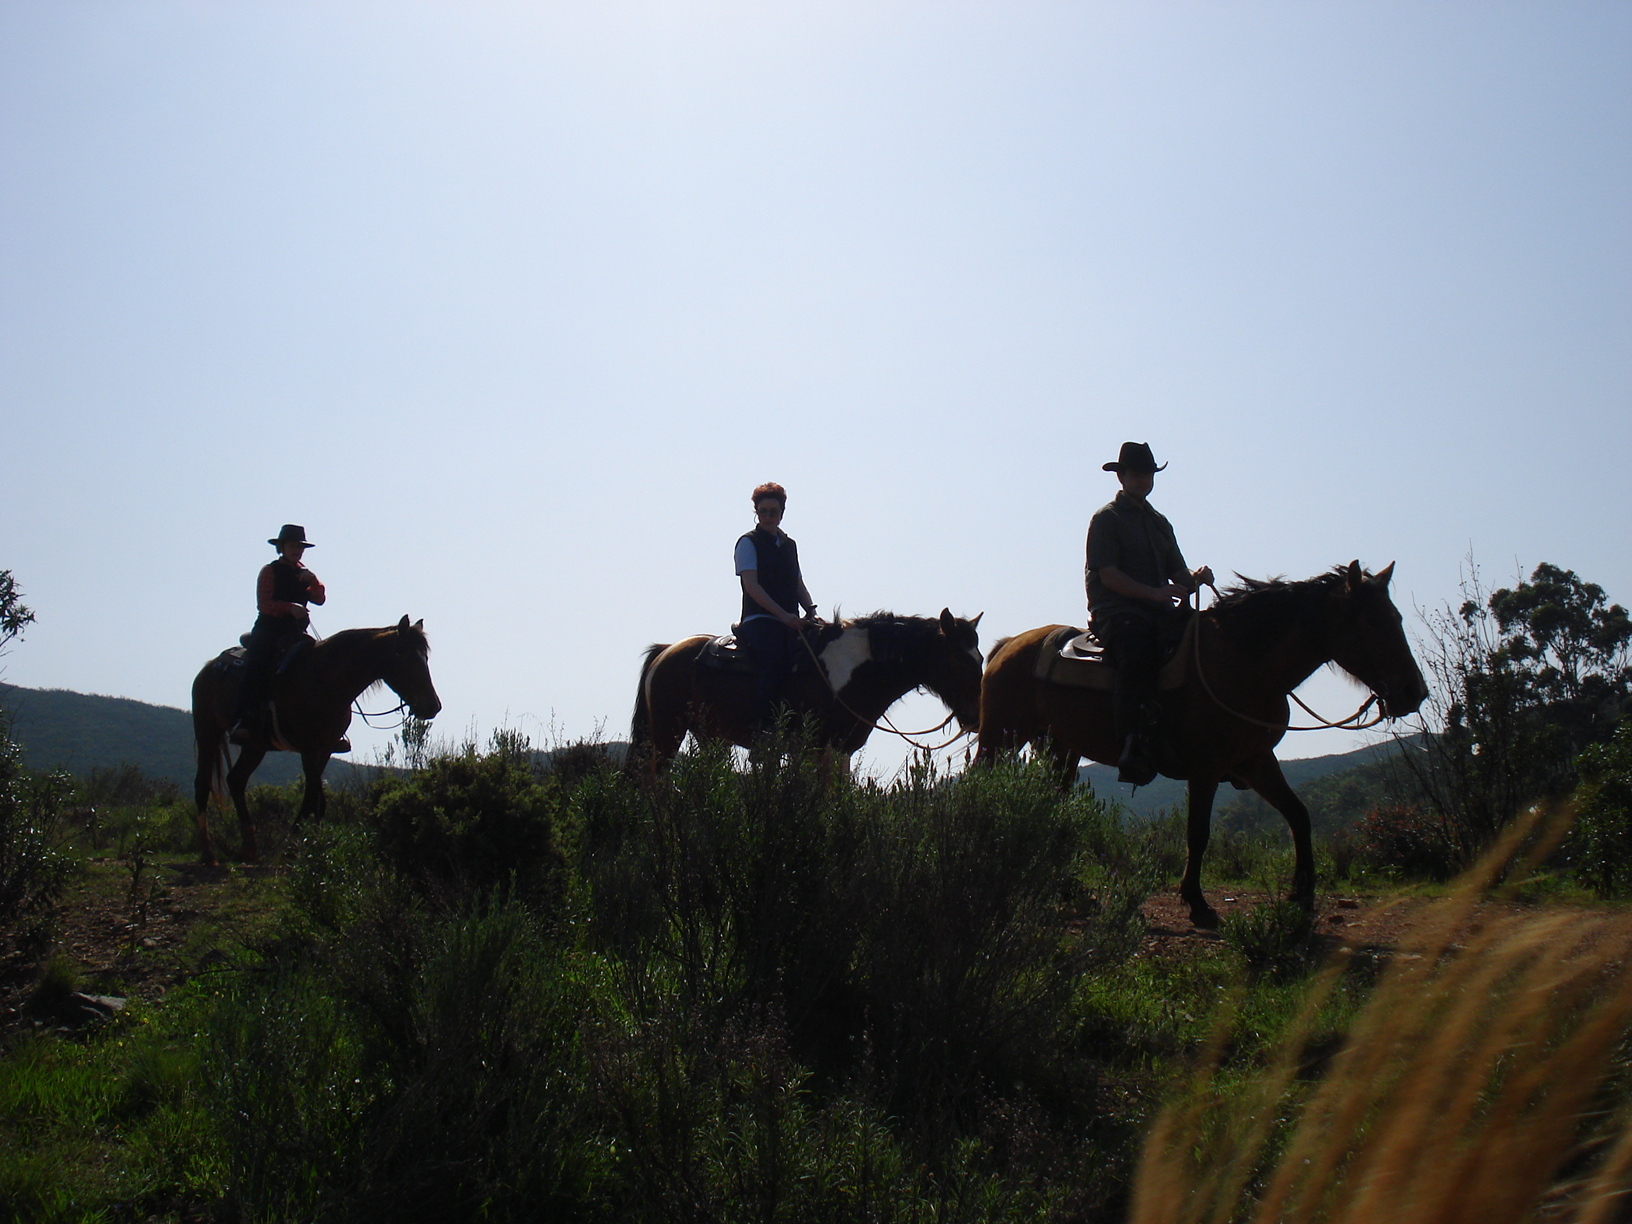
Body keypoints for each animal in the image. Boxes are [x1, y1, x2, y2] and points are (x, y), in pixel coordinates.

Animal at [191, 616, 443, 868]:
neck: (326, 679)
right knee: (203, 784)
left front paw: (303, 847)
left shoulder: (324, 748)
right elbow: (316, 798)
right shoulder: (309, 749)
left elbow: (312, 800)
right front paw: (306, 848)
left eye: (425, 657)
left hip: (255, 746)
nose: (432, 706)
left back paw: (249, 848)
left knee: (236, 780)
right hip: (207, 731)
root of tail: (208, 667)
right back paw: (207, 853)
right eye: (403, 656)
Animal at [626, 610, 979, 770]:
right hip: (666, 734)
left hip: (709, 737)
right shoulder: (816, 750)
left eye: (980, 657)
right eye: (959, 659)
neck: (853, 671)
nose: (977, 717)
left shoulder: (840, 751)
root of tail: (666, 650)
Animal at [972, 564, 1423, 926]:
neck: (1245, 662)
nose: (1413, 692)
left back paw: (1068, 889)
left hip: (1062, 750)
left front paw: (1302, 893)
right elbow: (1198, 832)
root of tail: (1007, 645)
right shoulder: (1205, 767)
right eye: (1373, 622)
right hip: (1000, 738)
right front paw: (1197, 902)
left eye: (1397, 617)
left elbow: (1299, 815)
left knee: (1054, 806)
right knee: (979, 786)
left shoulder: (1256, 760)